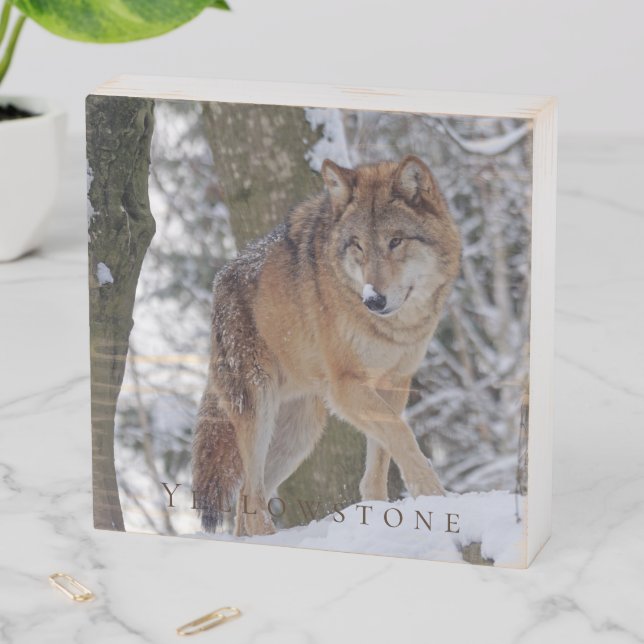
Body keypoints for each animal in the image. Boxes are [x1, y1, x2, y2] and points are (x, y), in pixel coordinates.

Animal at [193, 155, 461, 536]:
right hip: (259, 409)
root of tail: (220, 281)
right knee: (251, 494)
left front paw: (379, 513)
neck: (394, 328)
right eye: (358, 245)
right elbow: (402, 436)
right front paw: (434, 497)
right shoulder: (346, 386)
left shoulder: (394, 383)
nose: (373, 299)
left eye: (396, 241)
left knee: (248, 494)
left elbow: (381, 456)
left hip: (299, 434)